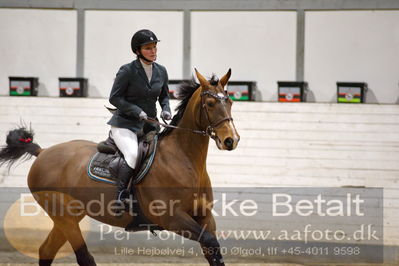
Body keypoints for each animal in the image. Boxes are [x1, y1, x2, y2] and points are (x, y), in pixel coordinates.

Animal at [0, 69, 241, 266]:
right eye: (210, 104)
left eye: (230, 101)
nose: (231, 140)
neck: (184, 159)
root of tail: (43, 152)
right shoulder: (172, 218)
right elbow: (210, 241)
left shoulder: (204, 218)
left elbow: (213, 250)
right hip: (63, 216)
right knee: (83, 257)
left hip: (69, 216)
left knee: (46, 250)